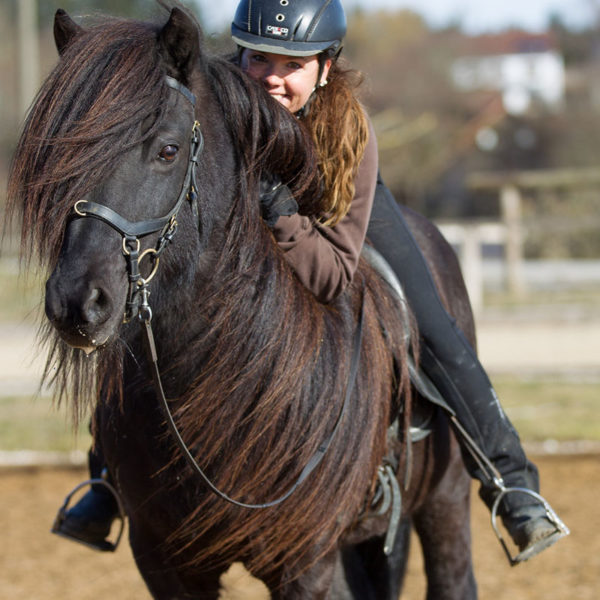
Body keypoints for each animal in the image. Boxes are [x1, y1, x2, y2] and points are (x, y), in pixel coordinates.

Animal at [7, 4, 478, 600]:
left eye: (168, 149)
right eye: (59, 148)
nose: (77, 302)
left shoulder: (305, 565)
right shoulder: (163, 561)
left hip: (446, 503)